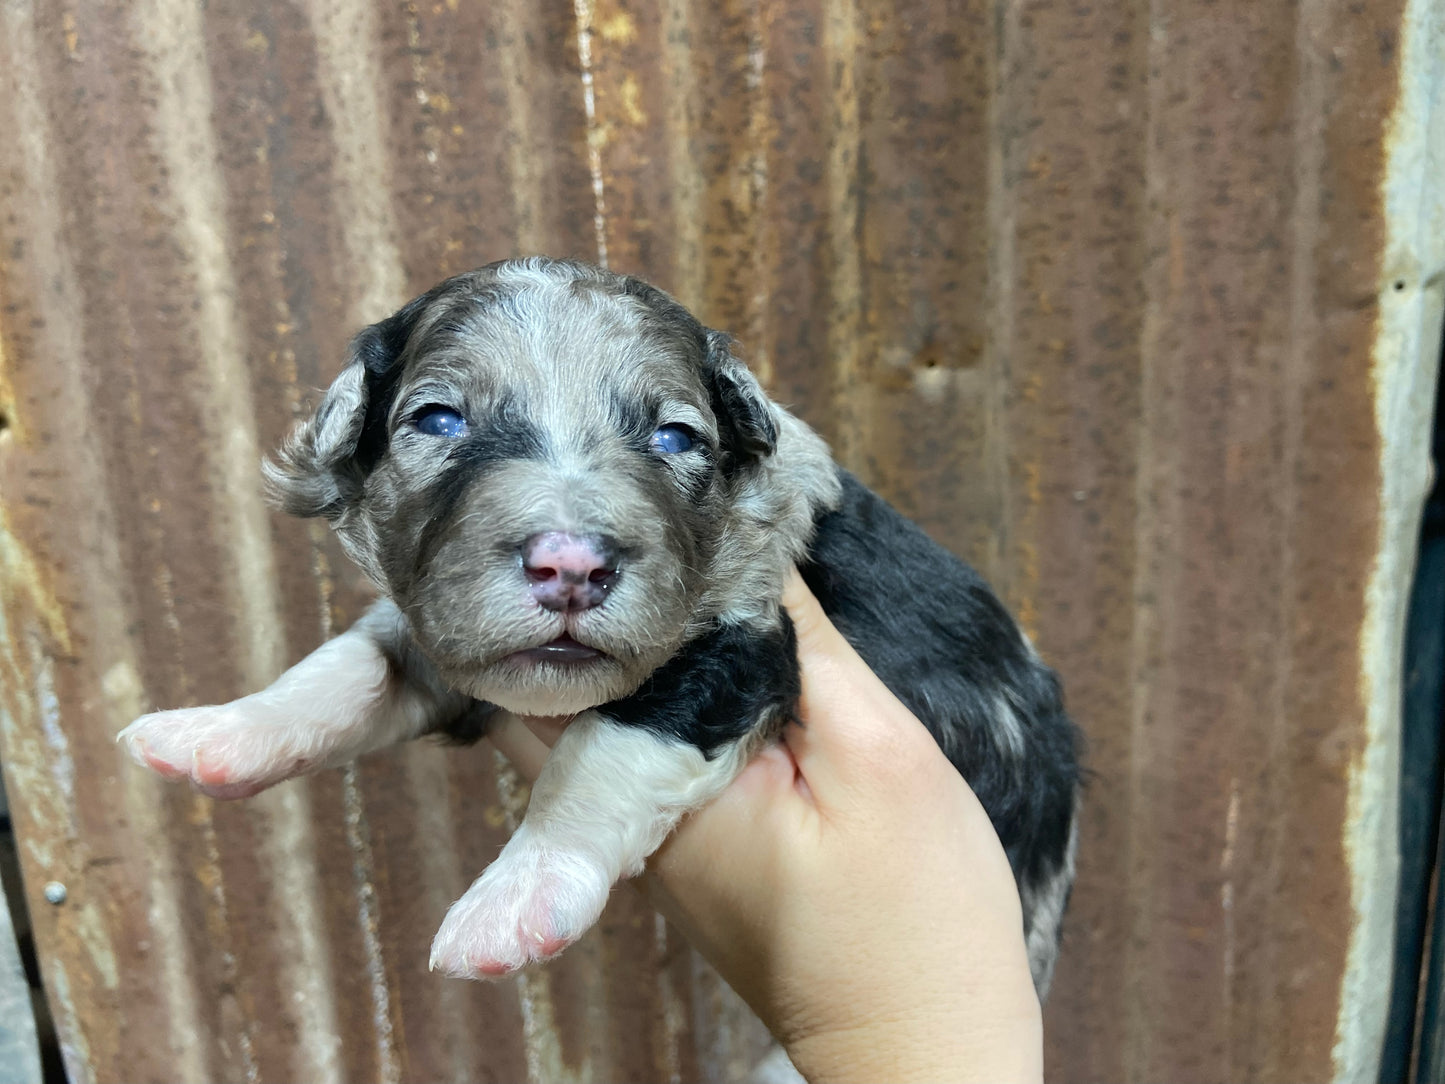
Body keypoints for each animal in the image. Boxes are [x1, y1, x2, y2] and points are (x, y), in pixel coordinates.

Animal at [118, 258, 1080, 1000]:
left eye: (675, 436)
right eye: (437, 420)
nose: (571, 565)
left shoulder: (750, 643)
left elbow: (607, 741)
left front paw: (513, 901)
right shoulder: (440, 634)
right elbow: (344, 665)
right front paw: (216, 732)